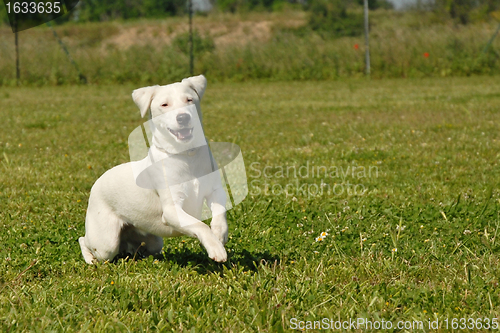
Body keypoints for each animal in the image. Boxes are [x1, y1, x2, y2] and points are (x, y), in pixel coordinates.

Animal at [79, 74, 229, 262]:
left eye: (189, 99)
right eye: (164, 105)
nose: (183, 117)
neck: (186, 155)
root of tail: (97, 182)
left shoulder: (215, 191)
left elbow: (220, 212)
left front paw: (219, 234)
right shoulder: (172, 209)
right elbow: (199, 225)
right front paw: (215, 248)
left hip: (153, 241)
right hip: (105, 243)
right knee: (84, 240)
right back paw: (90, 259)